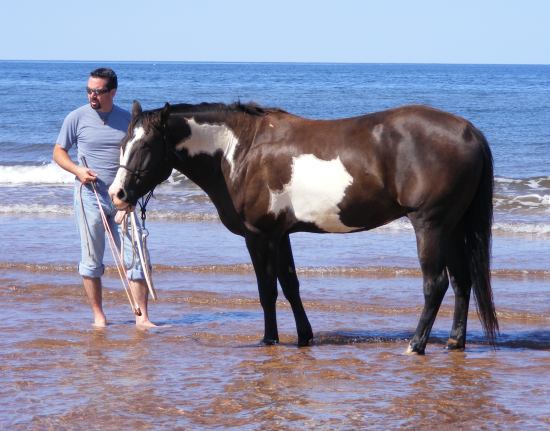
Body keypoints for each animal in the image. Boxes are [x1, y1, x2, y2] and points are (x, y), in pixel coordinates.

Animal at [109, 100, 500, 354]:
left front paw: (269, 339)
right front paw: (303, 337)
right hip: (452, 227)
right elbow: (291, 286)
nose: (117, 194)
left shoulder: (260, 236)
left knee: (436, 284)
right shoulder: (281, 235)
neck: (240, 151)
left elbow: (267, 290)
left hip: (431, 225)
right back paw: (455, 341)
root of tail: (469, 132)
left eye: (145, 145)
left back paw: (416, 345)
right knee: (462, 281)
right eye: (123, 143)